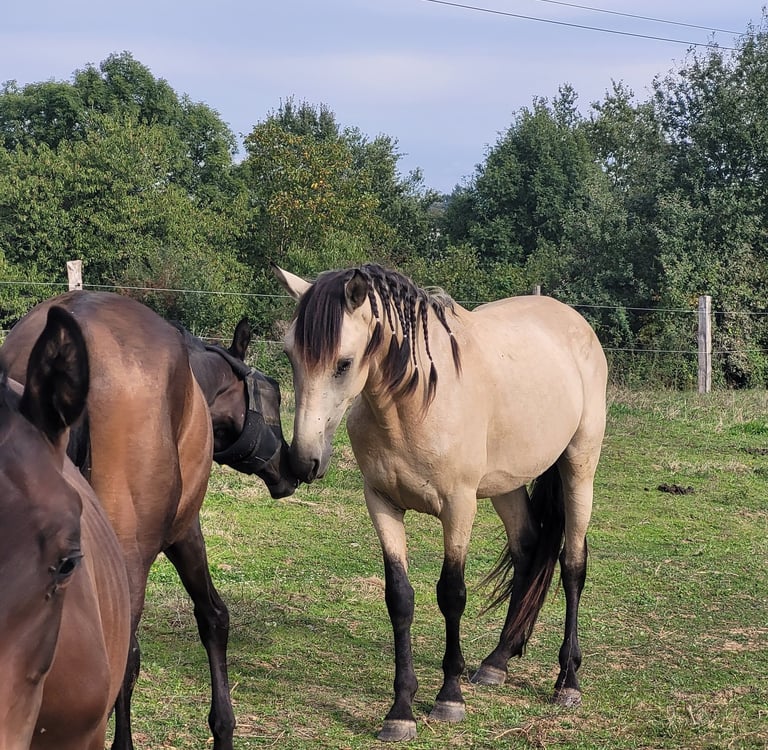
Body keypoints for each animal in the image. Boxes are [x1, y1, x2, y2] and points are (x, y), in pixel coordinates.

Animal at [273, 263, 608, 741]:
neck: (413, 405)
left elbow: (452, 594)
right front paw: (400, 711)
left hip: (579, 466)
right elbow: (399, 598)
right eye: (290, 356)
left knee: (573, 565)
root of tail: (572, 320)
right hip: (505, 484)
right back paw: (497, 661)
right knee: (527, 549)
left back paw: (568, 682)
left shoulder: (458, 507)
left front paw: (449, 697)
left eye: (344, 363)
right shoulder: (381, 503)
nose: (303, 461)